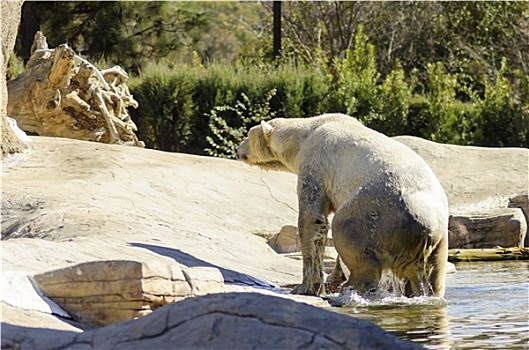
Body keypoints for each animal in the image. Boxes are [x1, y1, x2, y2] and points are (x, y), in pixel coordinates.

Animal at [237, 113, 448, 296]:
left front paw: (305, 287)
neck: (305, 134)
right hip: (439, 238)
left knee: (346, 230)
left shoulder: (316, 163)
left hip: (379, 210)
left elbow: (312, 219)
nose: (238, 150)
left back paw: (349, 287)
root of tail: (428, 228)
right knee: (434, 272)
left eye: (248, 134)